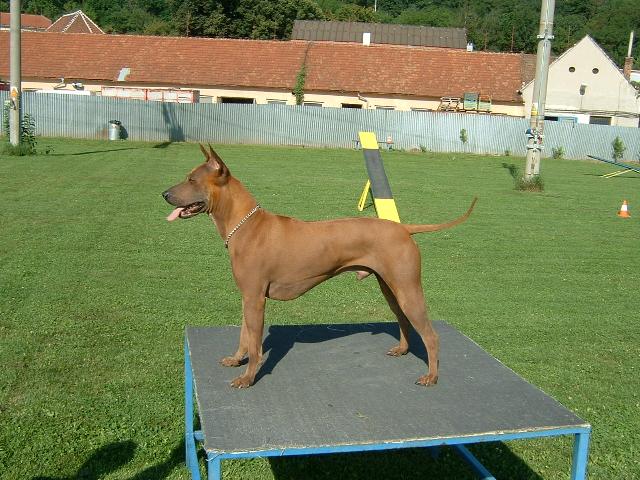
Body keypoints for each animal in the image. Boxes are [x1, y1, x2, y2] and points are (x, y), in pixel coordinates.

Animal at [163, 145, 476, 388]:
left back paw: (431, 376)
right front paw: (236, 359)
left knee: (431, 335)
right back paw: (402, 349)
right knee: (403, 320)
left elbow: (255, 345)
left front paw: (248, 378)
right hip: (391, 289)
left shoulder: (255, 299)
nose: (164, 194)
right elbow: (244, 336)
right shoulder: (248, 298)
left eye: (191, 179)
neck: (246, 225)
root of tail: (403, 229)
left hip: (407, 290)